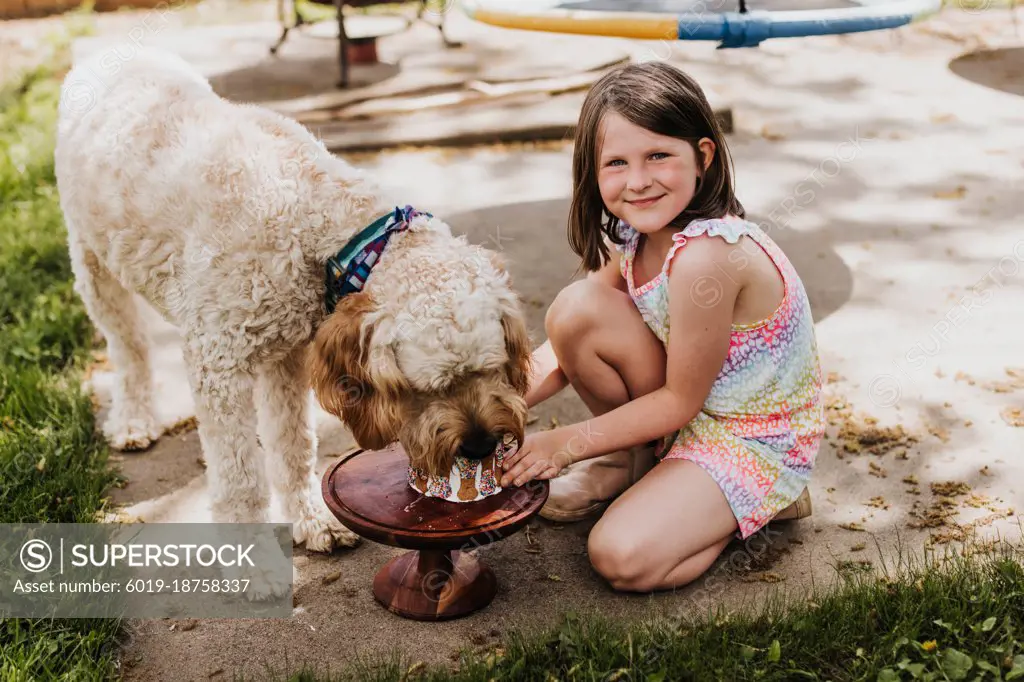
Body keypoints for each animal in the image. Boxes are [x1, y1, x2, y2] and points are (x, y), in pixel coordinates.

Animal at [55, 47, 532, 565]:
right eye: (427, 388)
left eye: (490, 369)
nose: (481, 444)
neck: (318, 220)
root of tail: (113, 49)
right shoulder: (219, 365)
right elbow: (241, 482)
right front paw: (253, 566)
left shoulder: (286, 357)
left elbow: (293, 446)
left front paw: (311, 520)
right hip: (93, 266)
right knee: (129, 348)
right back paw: (134, 419)